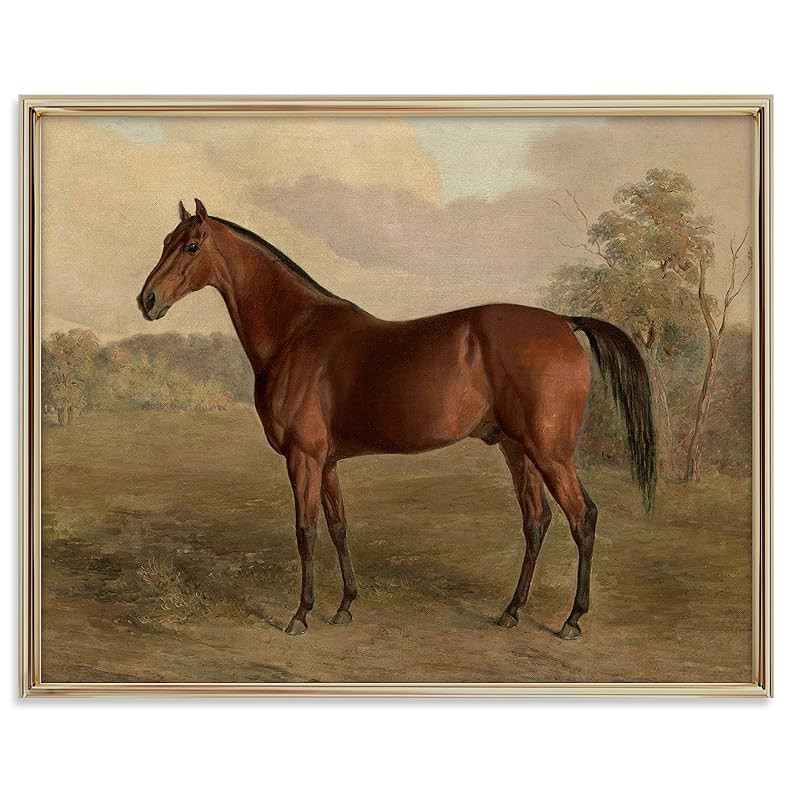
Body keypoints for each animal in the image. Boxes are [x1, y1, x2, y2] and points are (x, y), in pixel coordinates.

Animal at [137, 199, 656, 639]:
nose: (147, 300)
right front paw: (345, 606)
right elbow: (338, 527)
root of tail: (564, 322)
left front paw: (301, 615)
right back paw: (511, 611)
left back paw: (572, 619)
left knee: (582, 517)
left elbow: (306, 531)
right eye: (164, 240)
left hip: (550, 451)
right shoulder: (327, 462)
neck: (296, 332)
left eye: (191, 245)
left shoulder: (303, 458)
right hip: (517, 449)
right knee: (537, 520)